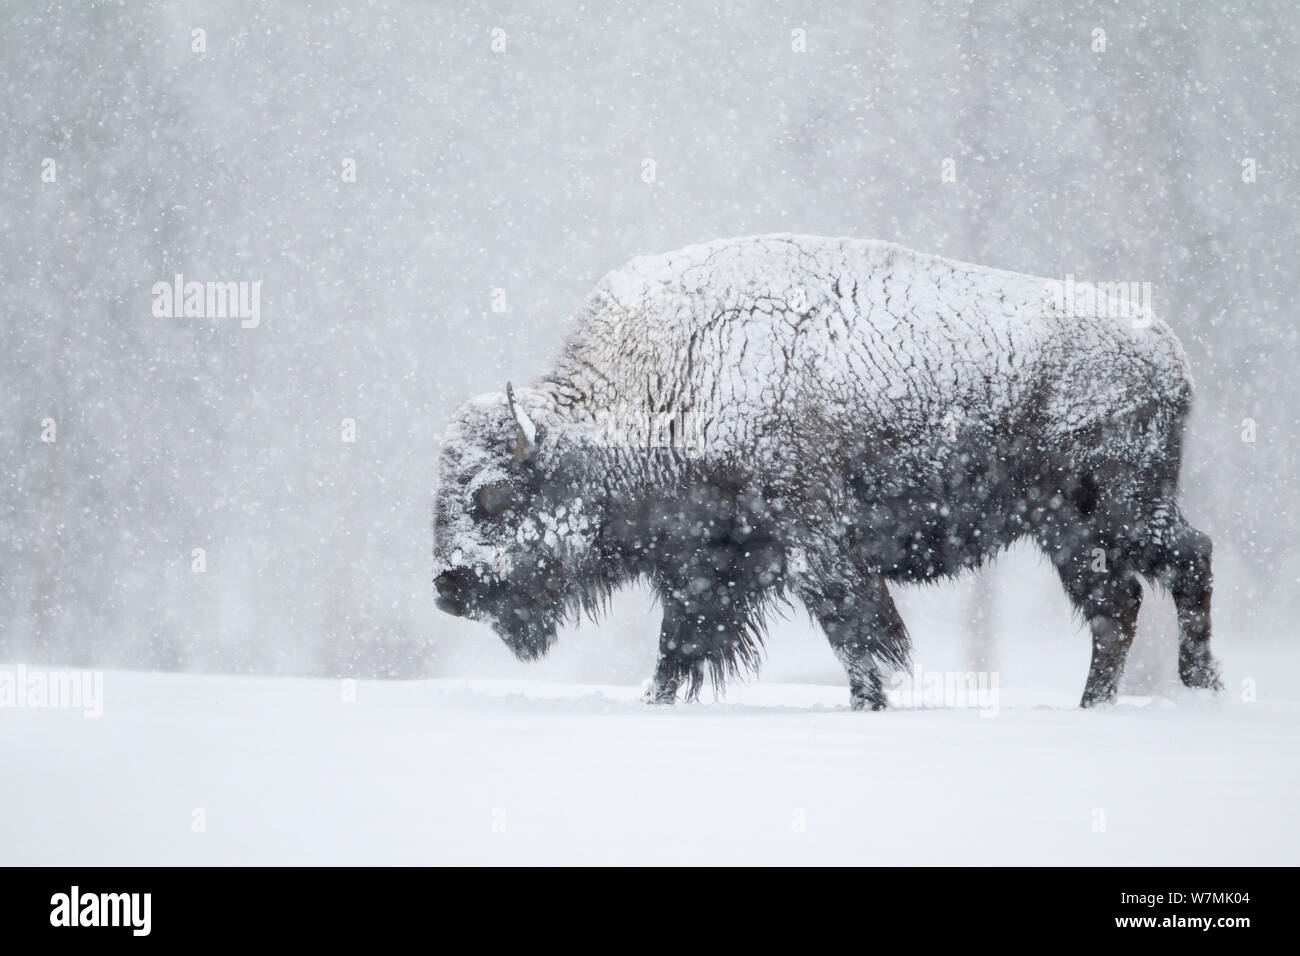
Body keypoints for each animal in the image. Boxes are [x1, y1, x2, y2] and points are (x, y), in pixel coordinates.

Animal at [434, 232, 1216, 712]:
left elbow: (854, 630)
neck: (663, 383)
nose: (448, 586)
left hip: (1117, 511)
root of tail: (1167, 350)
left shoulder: (815, 540)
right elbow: (680, 647)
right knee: (1119, 606)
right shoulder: (711, 566)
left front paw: (870, 703)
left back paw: (1198, 685)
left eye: (493, 495)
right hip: (1069, 534)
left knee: (1185, 562)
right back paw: (1096, 706)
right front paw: (655, 703)